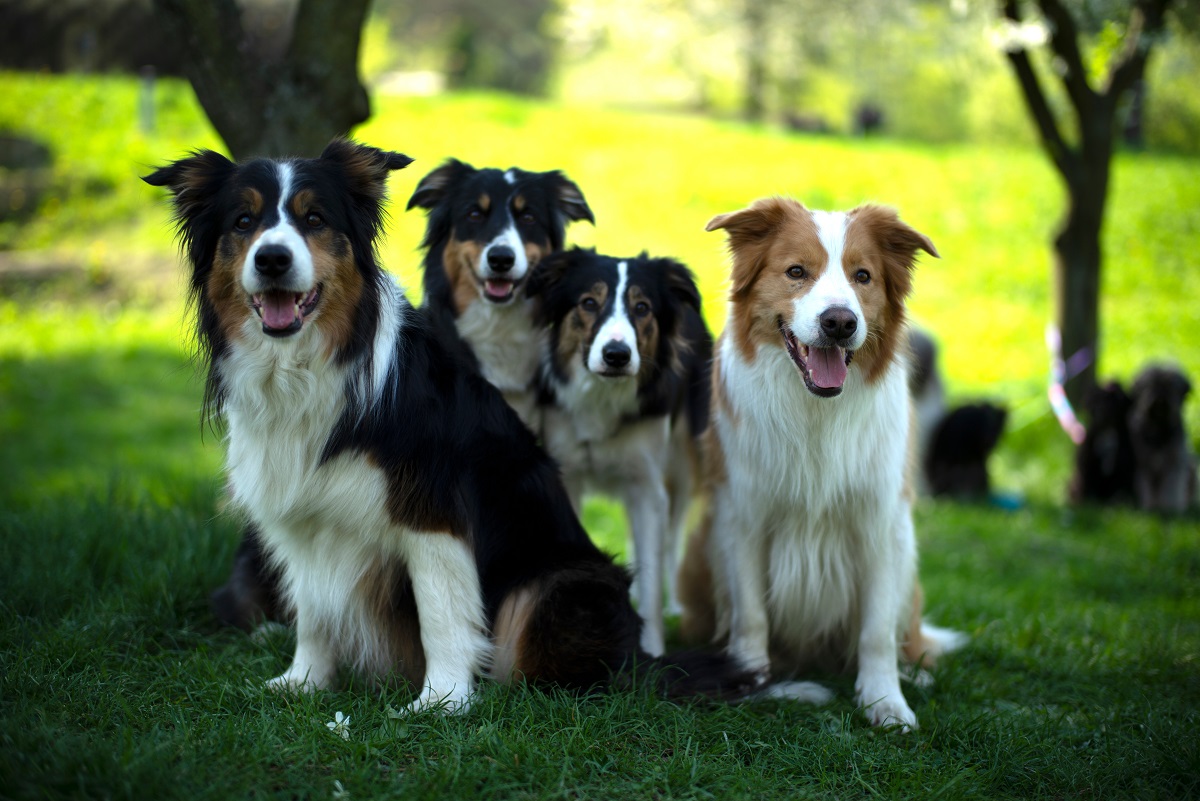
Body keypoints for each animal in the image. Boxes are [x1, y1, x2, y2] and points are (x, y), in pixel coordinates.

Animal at [528, 250, 710, 657]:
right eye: (588, 303)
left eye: (642, 308)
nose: (616, 355)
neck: (603, 394)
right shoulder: (569, 475)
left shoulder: (647, 485)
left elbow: (653, 566)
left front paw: (653, 651)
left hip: (684, 459)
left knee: (673, 531)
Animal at [676, 196, 964, 729]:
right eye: (796, 272)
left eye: (862, 276)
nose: (840, 322)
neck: (817, 410)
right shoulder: (742, 516)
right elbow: (750, 615)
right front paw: (752, 681)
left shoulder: (881, 522)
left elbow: (876, 630)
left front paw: (885, 700)